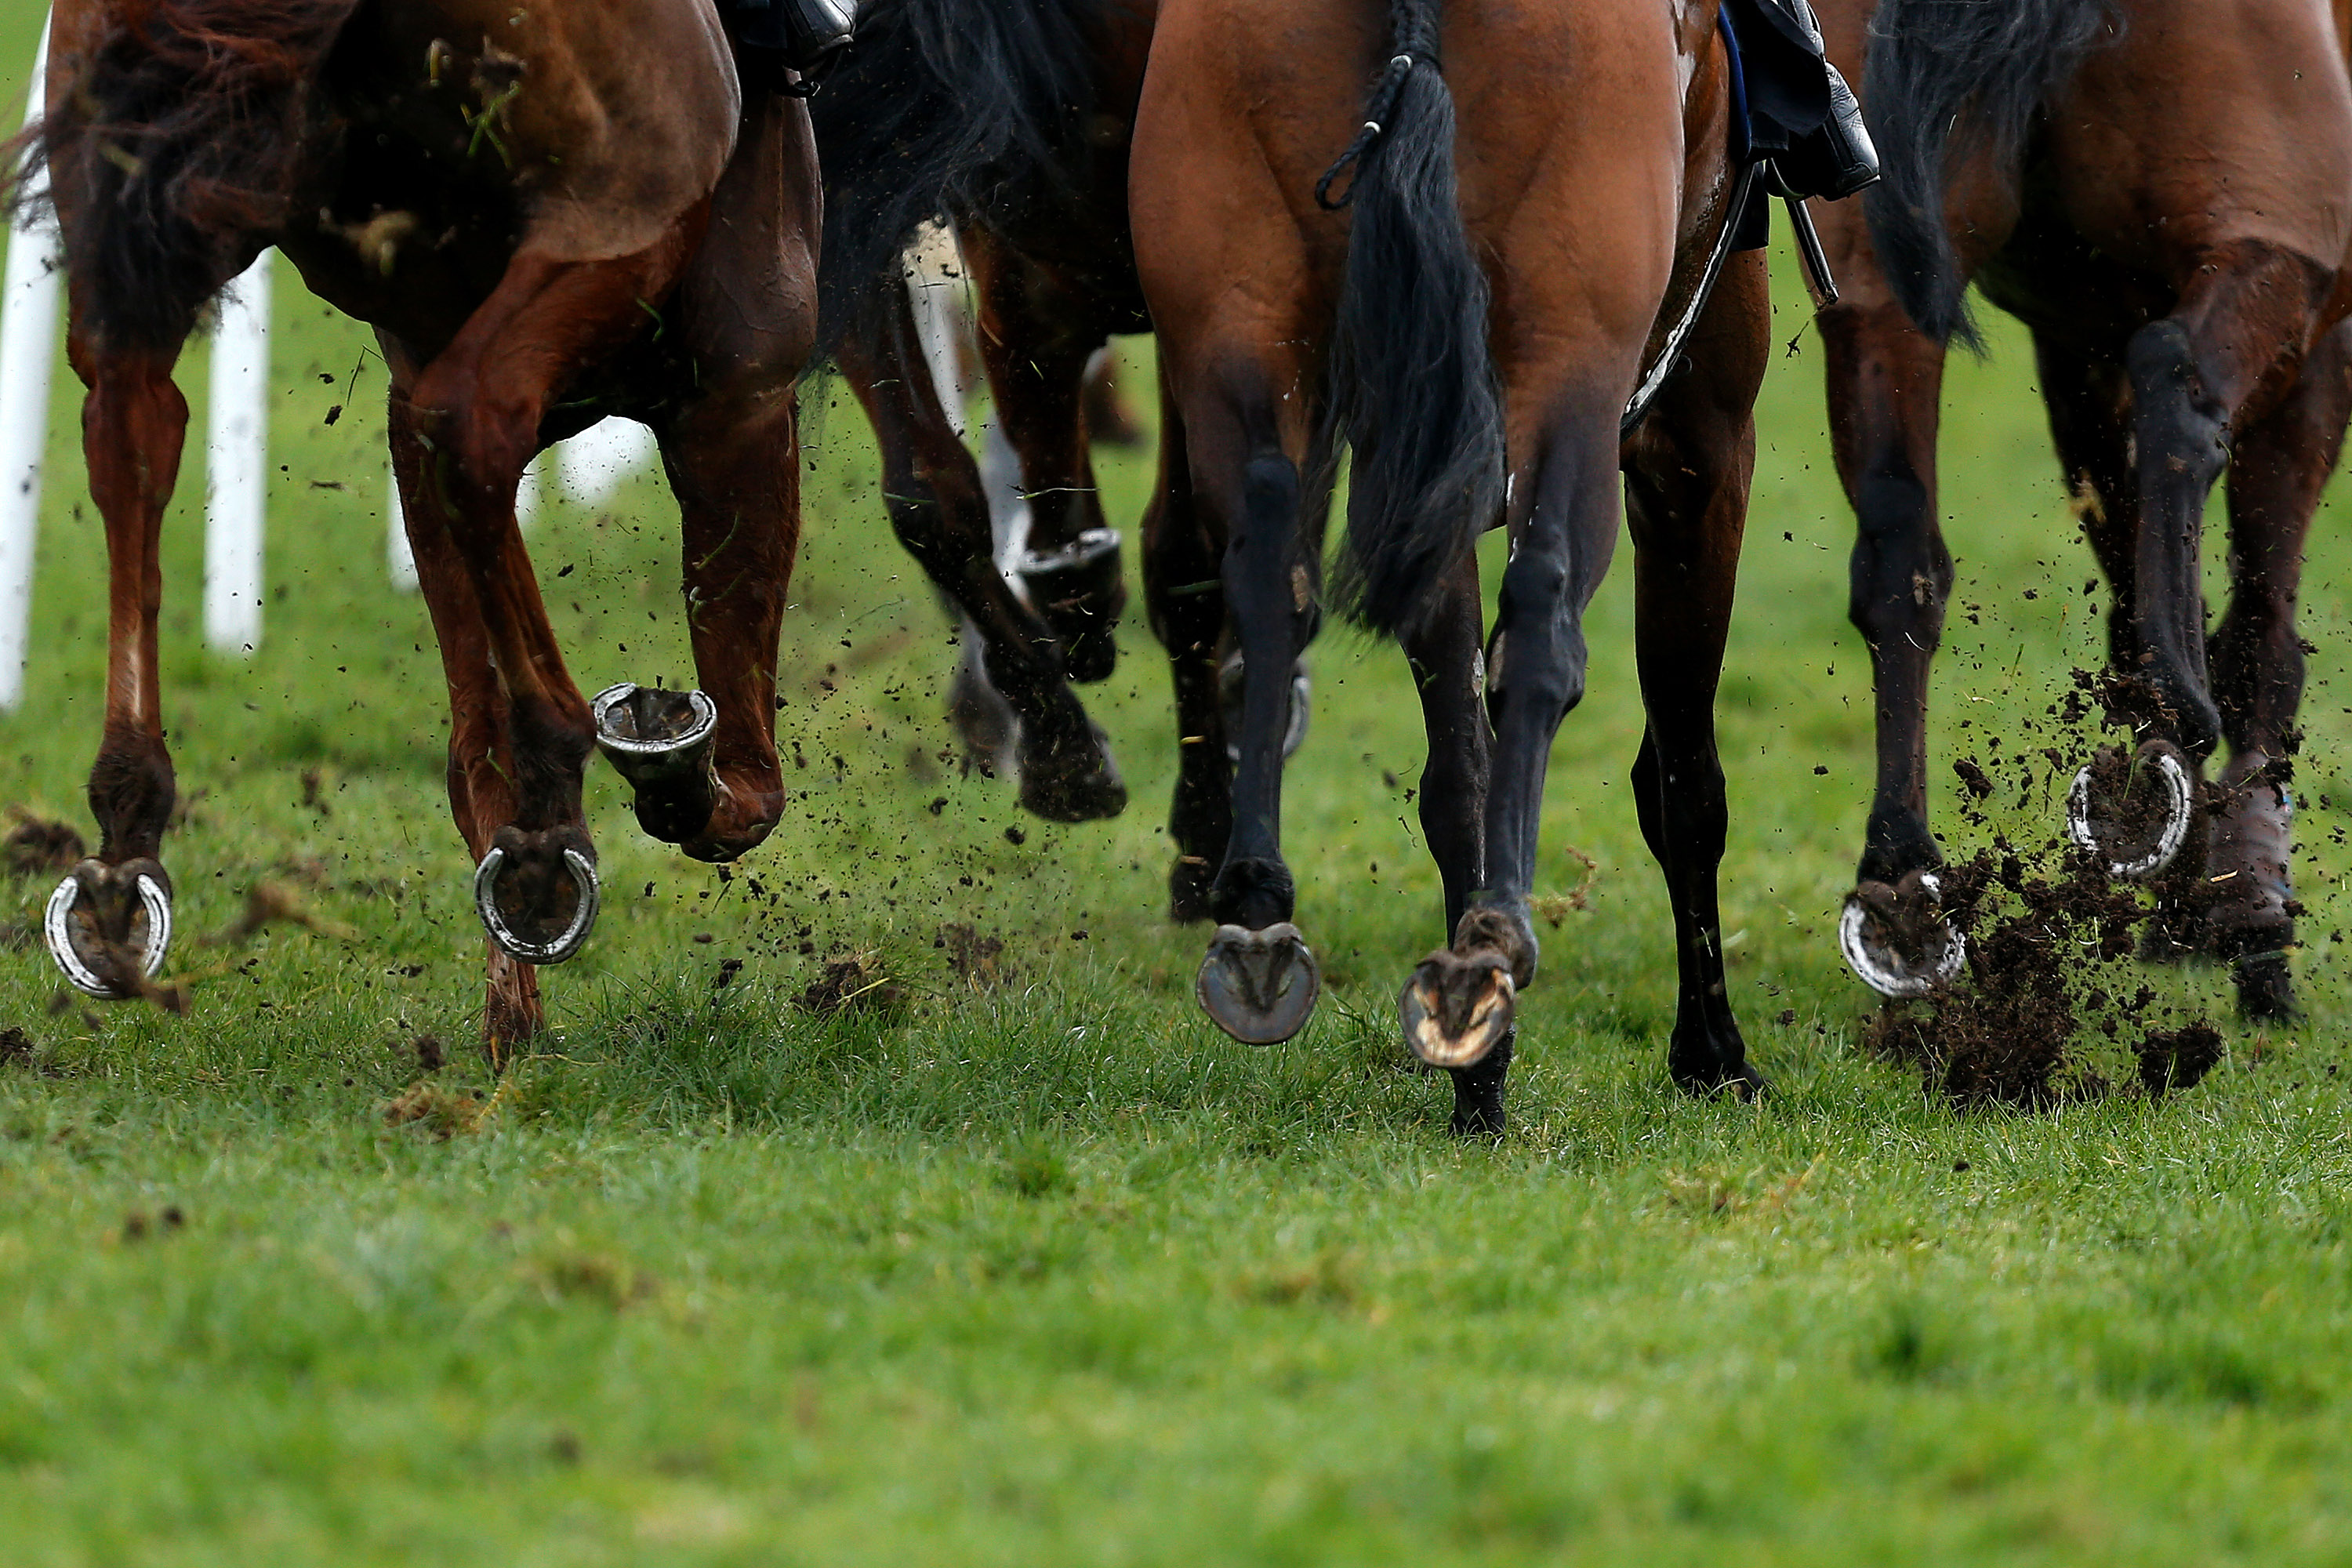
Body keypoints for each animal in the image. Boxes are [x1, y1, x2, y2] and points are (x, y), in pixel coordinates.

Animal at [1138, 0, 1778, 1128]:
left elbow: (1457, 769)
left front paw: (1481, 1072)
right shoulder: (1699, 450)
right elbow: (1684, 784)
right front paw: (1710, 1053)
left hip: (1236, 318)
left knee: (1267, 581)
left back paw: (1263, 913)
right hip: (1576, 348)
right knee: (1543, 627)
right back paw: (1491, 946)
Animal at [1816, 0, 2352, 1020]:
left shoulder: (2076, 331)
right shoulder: (2314, 325)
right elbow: (2263, 631)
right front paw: (2246, 911)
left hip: (1875, 280)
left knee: (1898, 553)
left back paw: (1904, 879)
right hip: (2283, 248)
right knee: (2180, 386)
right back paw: (2169, 724)